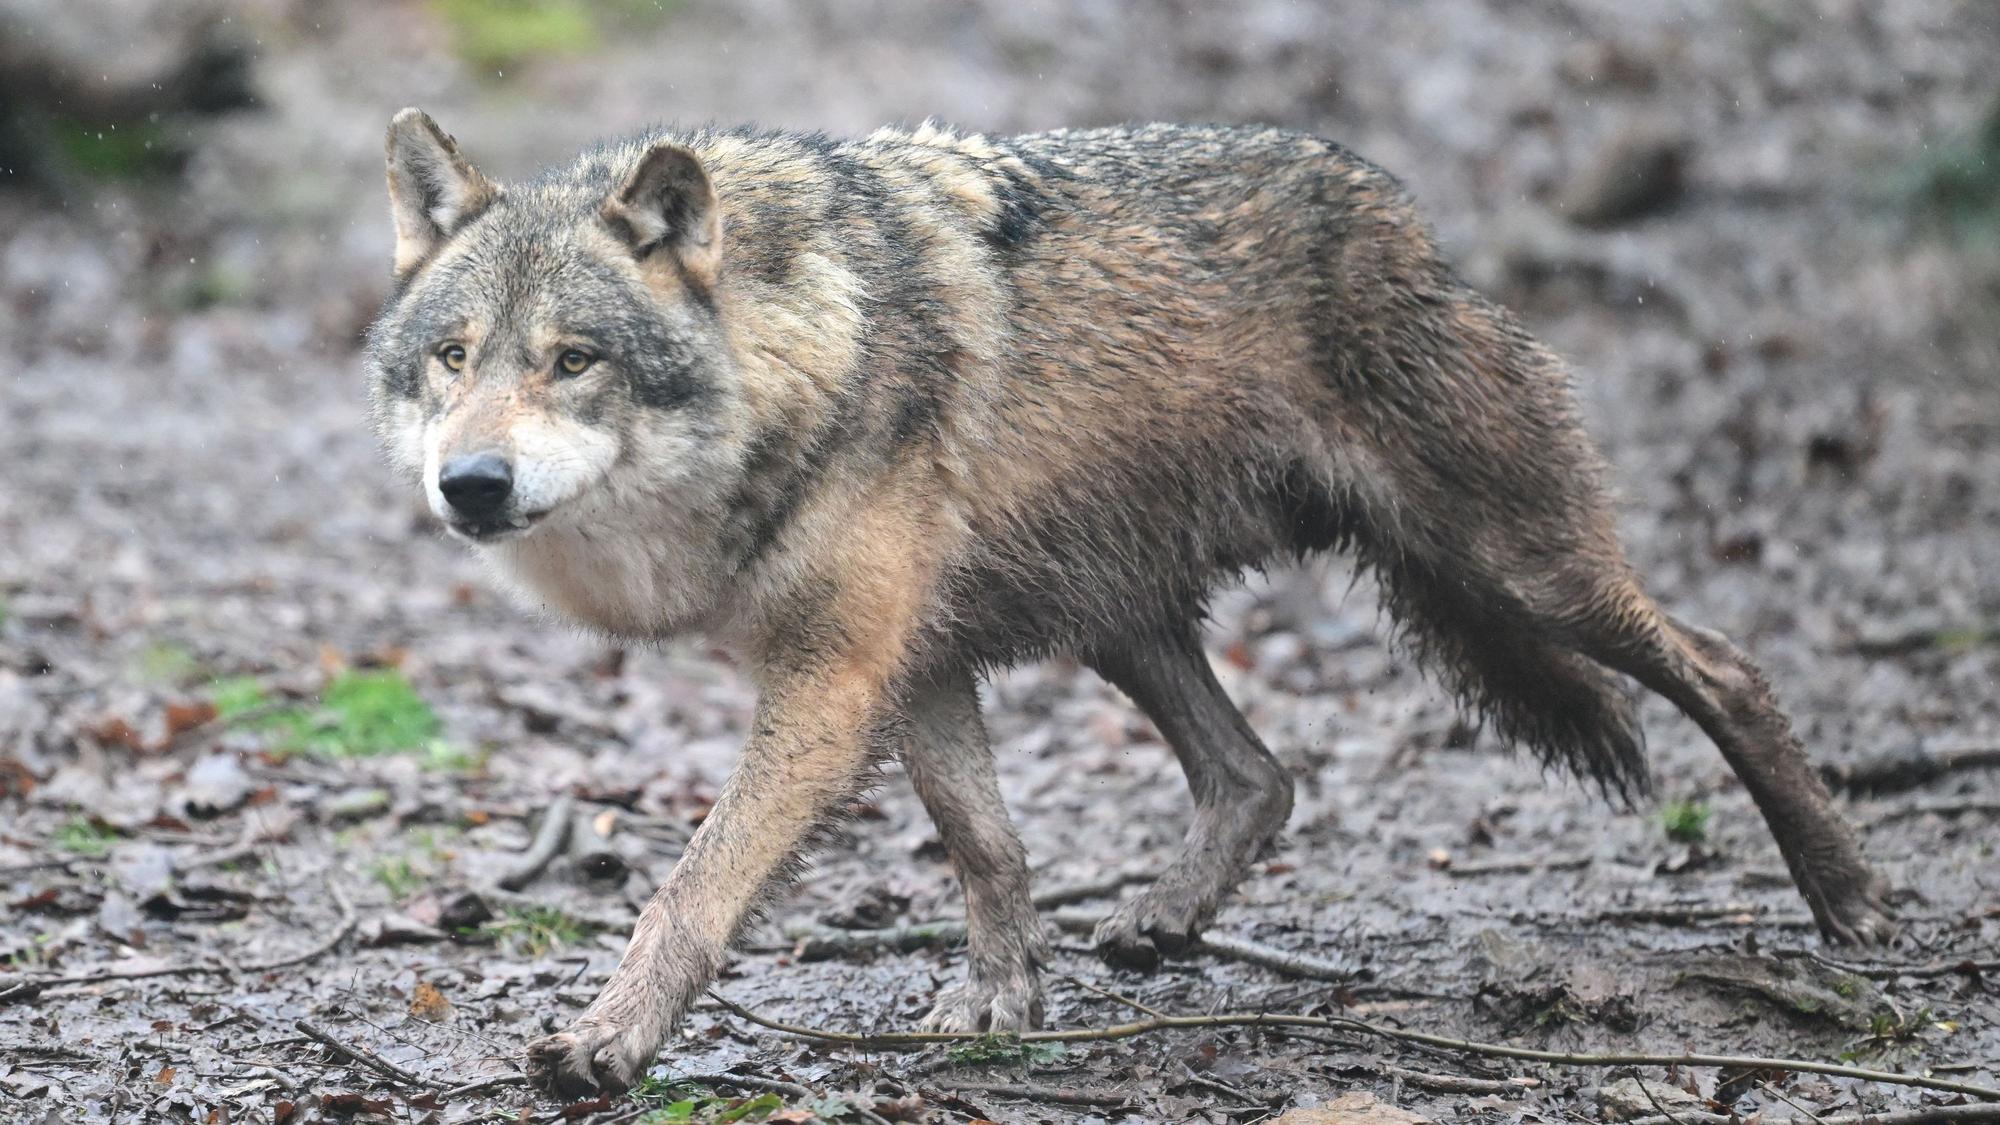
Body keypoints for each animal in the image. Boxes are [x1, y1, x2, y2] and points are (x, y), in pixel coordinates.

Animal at [366, 108, 1896, 1095]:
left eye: (572, 360)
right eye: (453, 356)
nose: (471, 484)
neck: (799, 351)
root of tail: (1404, 215)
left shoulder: (834, 677)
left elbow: (690, 888)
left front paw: (606, 1043)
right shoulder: (913, 663)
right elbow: (987, 845)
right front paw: (1001, 1002)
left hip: (1516, 568)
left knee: (1727, 666)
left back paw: (1849, 902)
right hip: (1121, 616)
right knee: (1259, 774)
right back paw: (1162, 920)